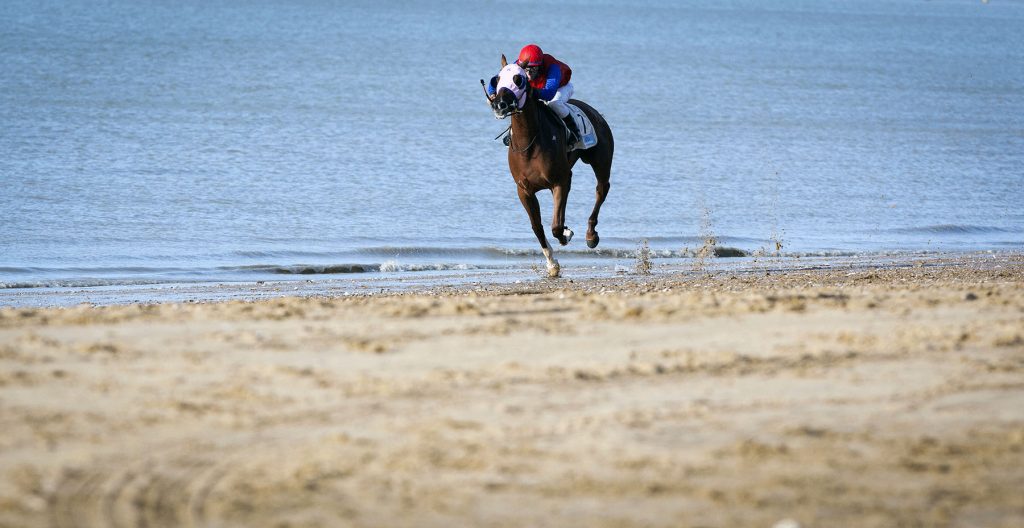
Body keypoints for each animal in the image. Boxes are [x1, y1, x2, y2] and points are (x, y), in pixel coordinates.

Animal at [486, 55, 613, 278]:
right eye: (498, 78)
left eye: (518, 79)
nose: (499, 104)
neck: (529, 142)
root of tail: (596, 113)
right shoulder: (524, 190)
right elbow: (537, 226)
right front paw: (552, 263)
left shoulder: (560, 181)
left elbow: (556, 226)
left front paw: (565, 235)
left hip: (600, 161)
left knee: (601, 189)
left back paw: (591, 234)